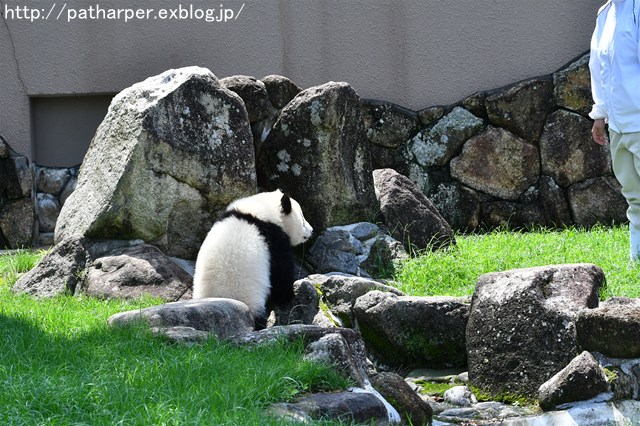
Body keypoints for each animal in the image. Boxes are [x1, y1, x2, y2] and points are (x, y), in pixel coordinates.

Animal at [194, 191, 314, 330]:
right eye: (303, 218)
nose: (311, 230)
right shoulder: (274, 241)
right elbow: (281, 274)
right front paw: (289, 295)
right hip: (250, 297)